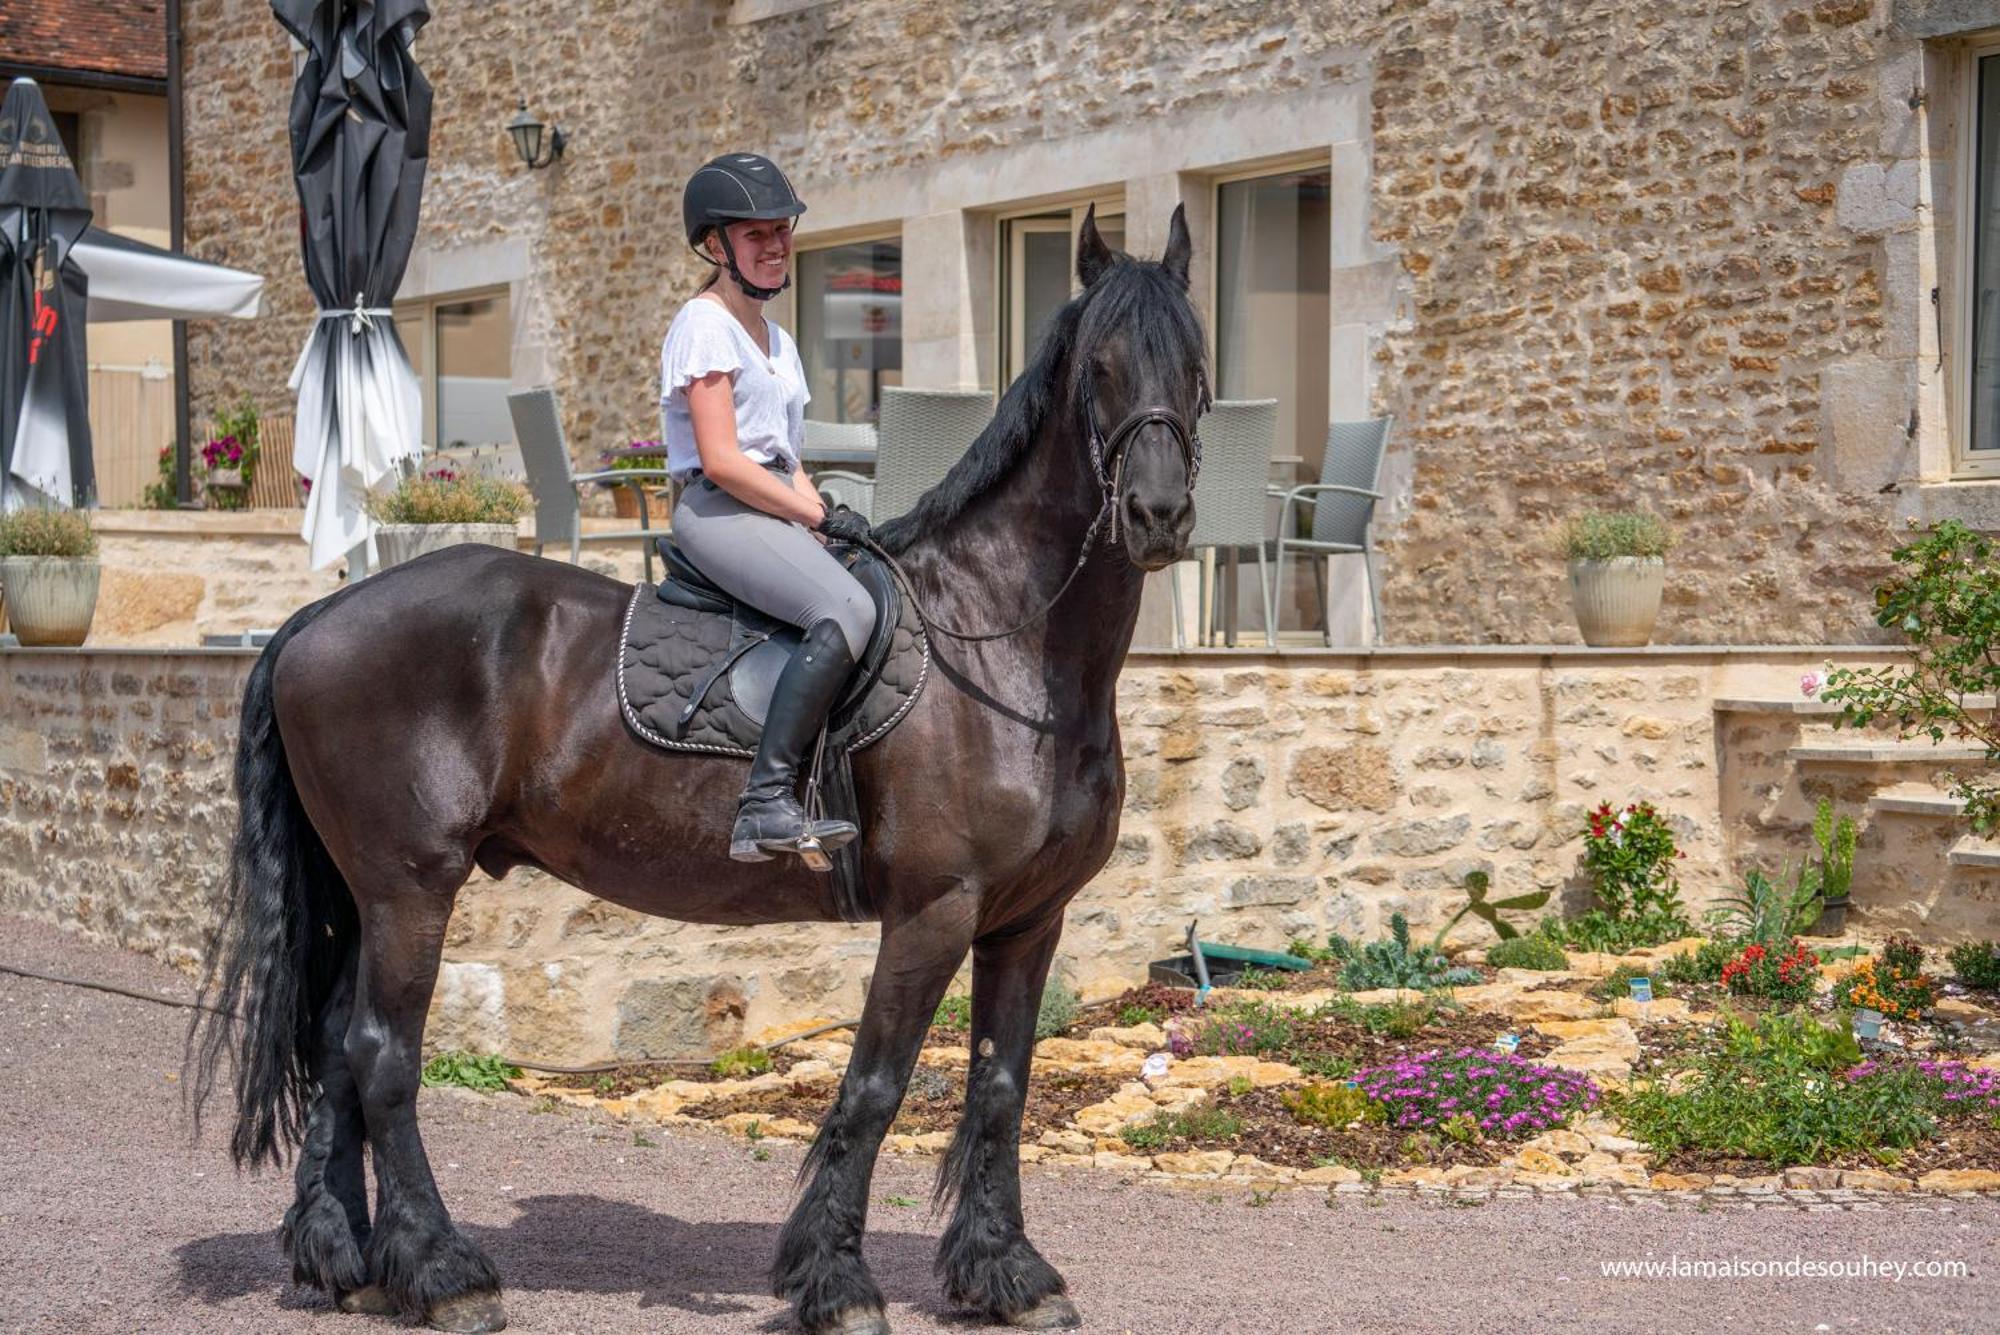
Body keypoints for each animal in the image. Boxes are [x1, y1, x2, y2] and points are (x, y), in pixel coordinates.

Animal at [195, 208, 1200, 1335]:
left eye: (1195, 363)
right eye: (1100, 368)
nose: (1158, 516)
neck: (1001, 645)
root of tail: (320, 613)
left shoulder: (1028, 919)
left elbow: (999, 1085)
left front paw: (1006, 1272)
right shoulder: (934, 909)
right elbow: (875, 1085)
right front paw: (834, 1282)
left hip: (363, 892)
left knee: (332, 1046)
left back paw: (347, 1258)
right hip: (410, 885)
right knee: (381, 1053)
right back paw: (443, 1271)